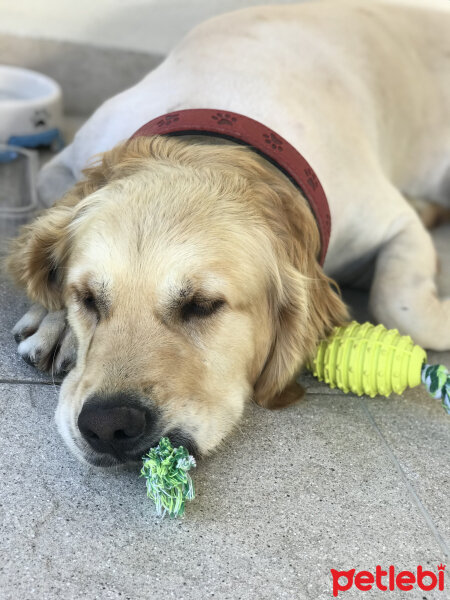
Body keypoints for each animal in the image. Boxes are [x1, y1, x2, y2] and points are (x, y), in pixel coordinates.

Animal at [4, 0, 450, 464]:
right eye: (87, 298)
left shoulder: (391, 219)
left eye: (202, 305)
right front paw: (57, 323)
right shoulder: (59, 168)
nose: (108, 425)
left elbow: (401, 305)